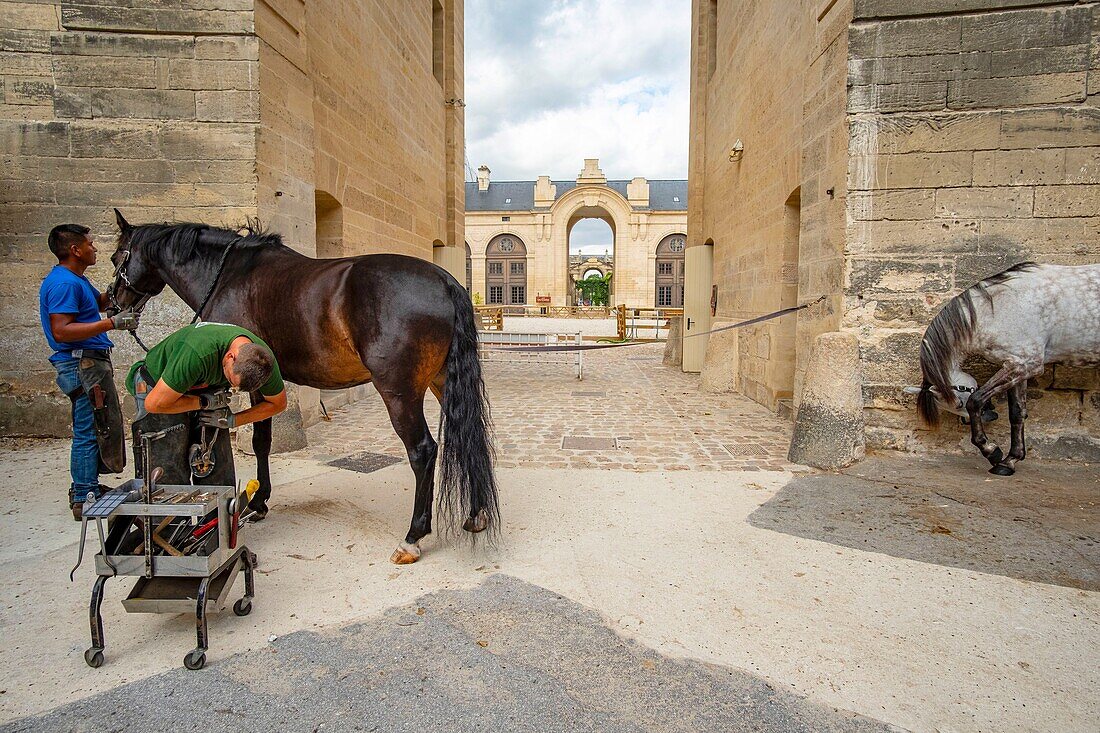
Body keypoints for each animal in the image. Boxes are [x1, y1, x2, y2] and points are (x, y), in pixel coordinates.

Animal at [105, 208, 501, 561]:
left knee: (422, 451)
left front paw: (259, 501)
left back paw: (413, 537)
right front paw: (259, 498)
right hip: (440, 382)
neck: (229, 275)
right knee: (467, 435)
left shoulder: (250, 379)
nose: (111, 306)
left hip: (398, 392)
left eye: (115, 256)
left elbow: (261, 441)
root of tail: (445, 281)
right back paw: (476, 514)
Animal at [910, 260, 1100, 473]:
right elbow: (1017, 413)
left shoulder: (1025, 364)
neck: (996, 309)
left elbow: (975, 400)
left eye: (958, 403)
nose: (990, 416)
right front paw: (1009, 461)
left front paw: (991, 451)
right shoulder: (1019, 367)